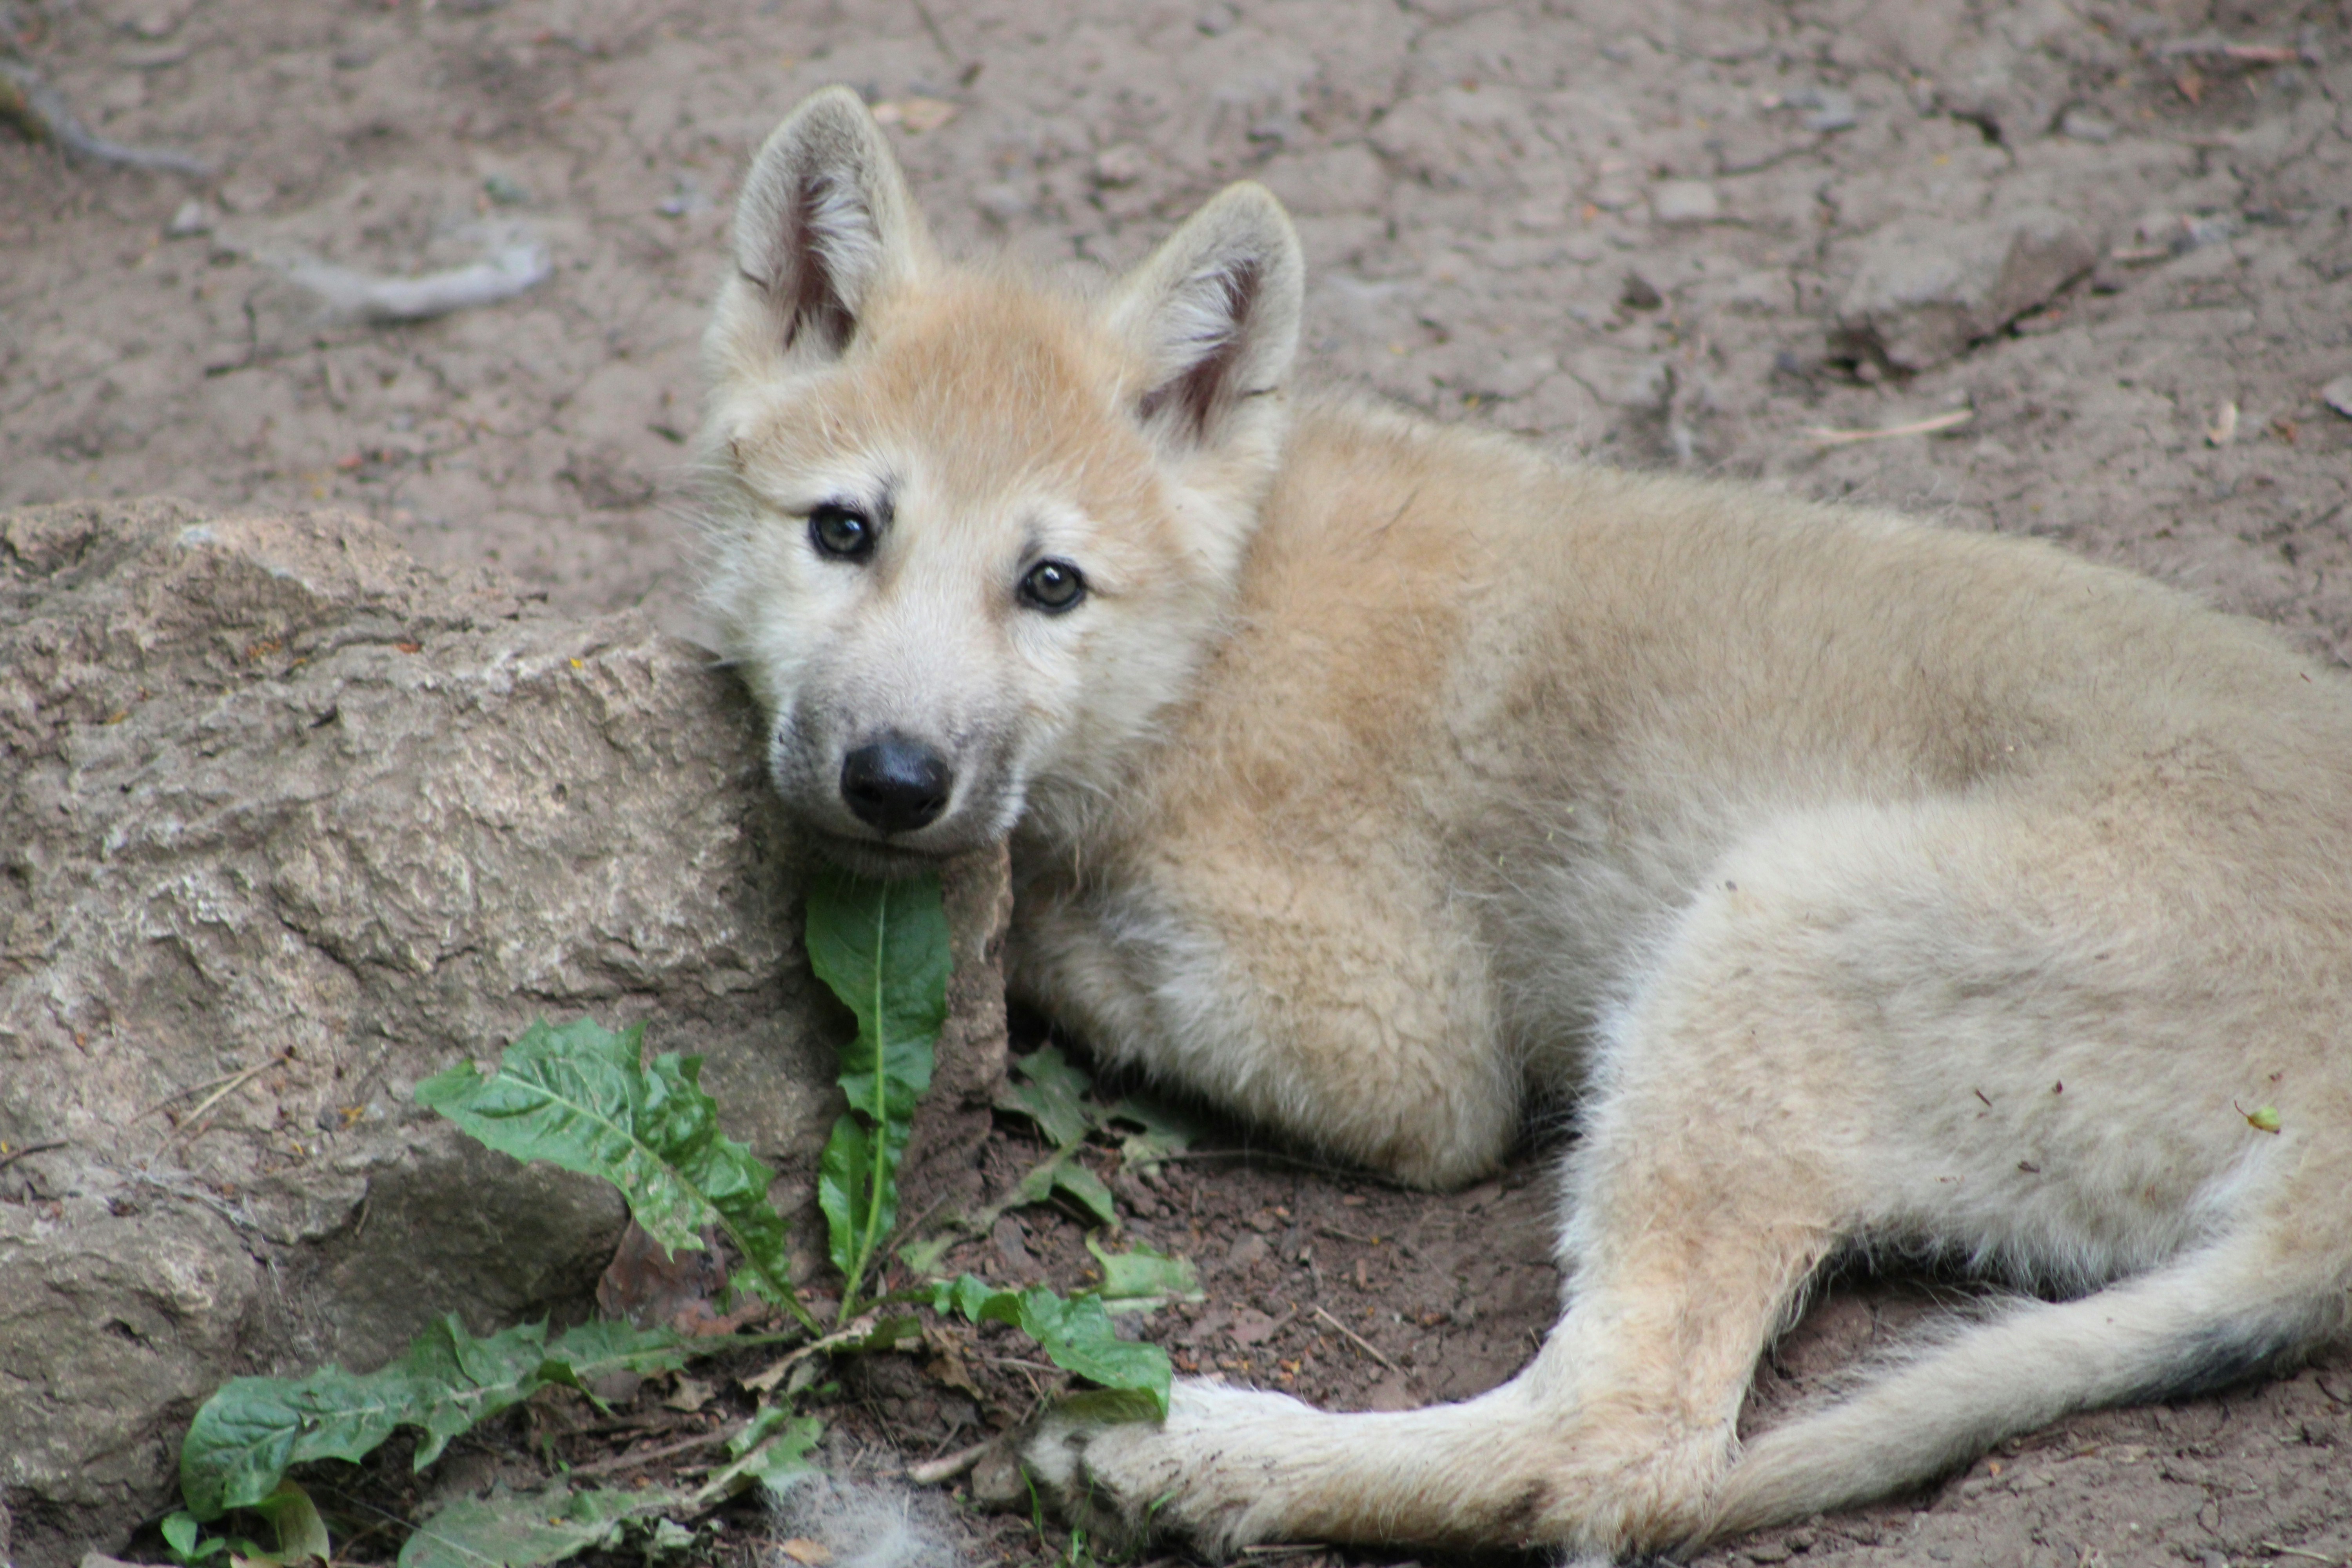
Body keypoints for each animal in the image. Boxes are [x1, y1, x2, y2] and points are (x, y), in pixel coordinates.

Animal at [697, 87, 2352, 1561]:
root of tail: (2323, 1172)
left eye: (1050, 584)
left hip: (1761, 932)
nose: (893, 780)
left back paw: (1186, 1459)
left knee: (1615, 1454)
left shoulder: (1411, 1060)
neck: (1220, 632)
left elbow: (1045, 908)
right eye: (843, 532)